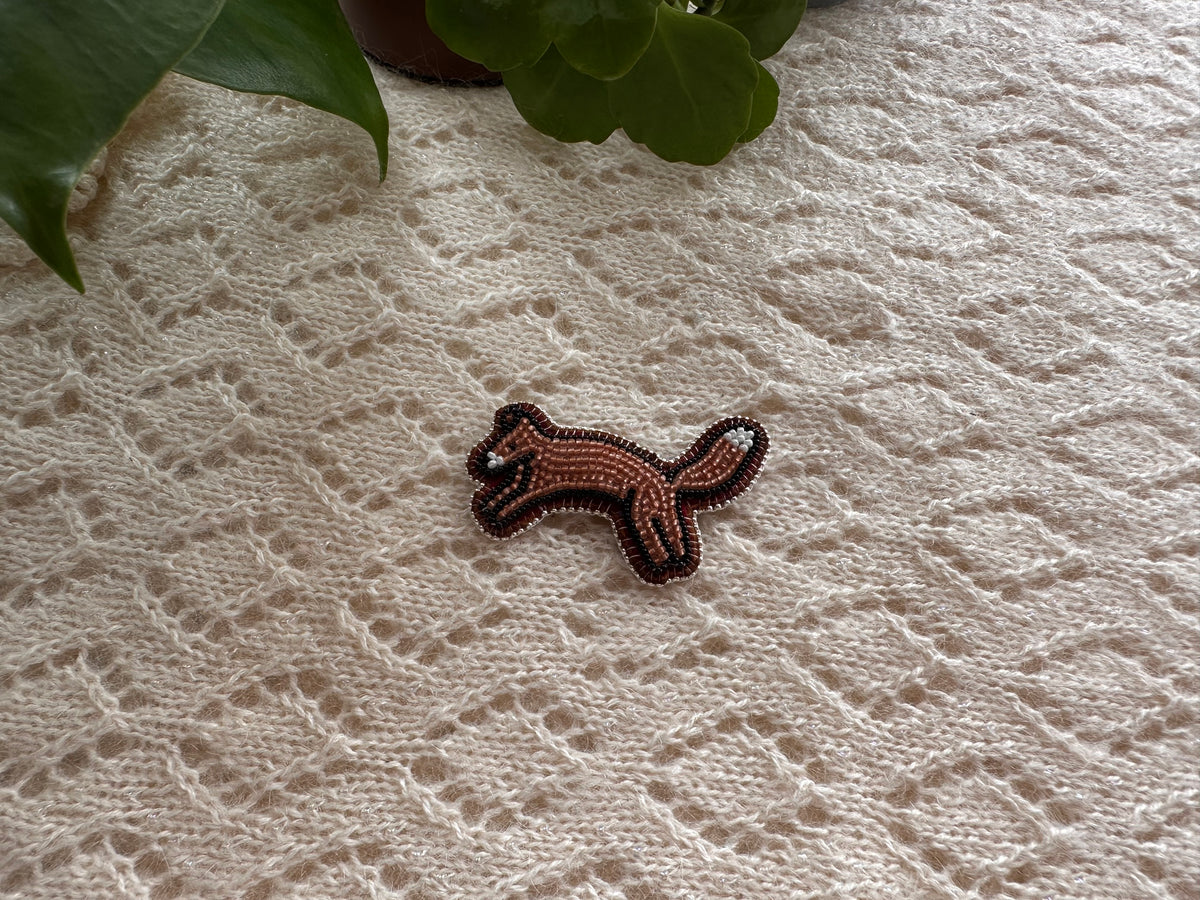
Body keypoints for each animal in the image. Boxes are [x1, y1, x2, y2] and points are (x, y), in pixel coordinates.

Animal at [467, 403, 769, 585]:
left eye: (511, 444)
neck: (540, 452)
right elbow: (501, 497)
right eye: (499, 440)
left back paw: (665, 563)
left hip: (641, 511)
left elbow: (510, 503)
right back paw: (675, 562)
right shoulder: (521, 483)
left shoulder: (535, 487)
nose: (489, 460)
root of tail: (669, 481)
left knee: (659, 537)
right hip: (661, 512)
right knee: (674, 535)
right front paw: (489, 509)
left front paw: (494, 514)